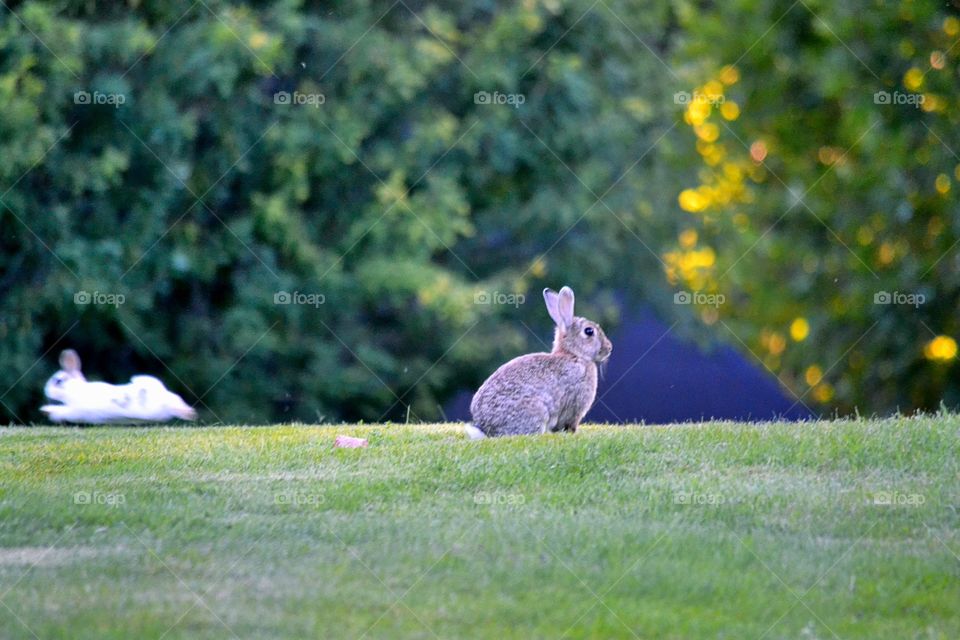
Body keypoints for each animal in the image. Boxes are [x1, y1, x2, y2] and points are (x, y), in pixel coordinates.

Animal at [41, 348, 197, 422]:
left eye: (58, 381)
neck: (75, 390)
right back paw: (190, 414)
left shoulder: (76, 409)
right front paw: (46, 410)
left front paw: (46, 410)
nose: (46, 391)